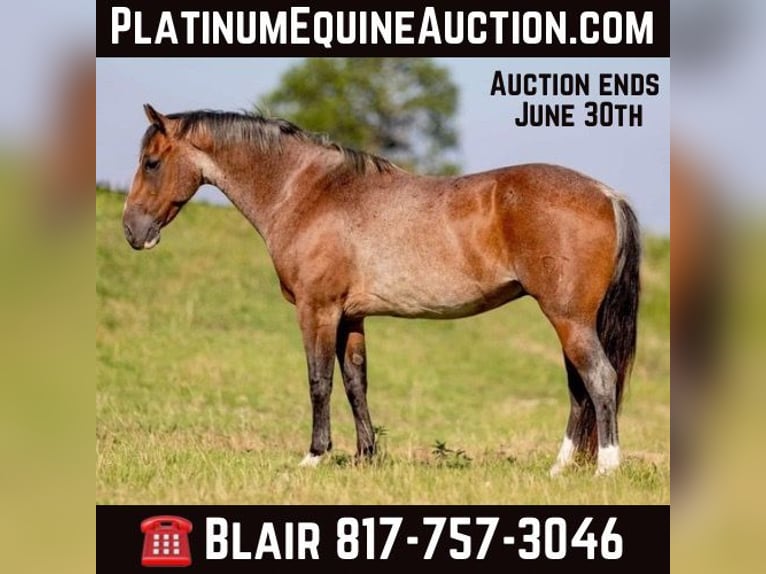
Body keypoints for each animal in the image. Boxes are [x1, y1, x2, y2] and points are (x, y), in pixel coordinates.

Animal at [122, 104, 640, 476]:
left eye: (152, 162)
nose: (132, 231)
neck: (309, 192)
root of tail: (607, 194)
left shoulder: (317, 309)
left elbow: (319, 381)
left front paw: (315, 455)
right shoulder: (351, 316)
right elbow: (356, 382)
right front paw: (366, 456)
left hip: (568, 318)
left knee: (598, 379)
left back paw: (606, 468)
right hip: (571, 321)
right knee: (580, 389)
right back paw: (559, 469)